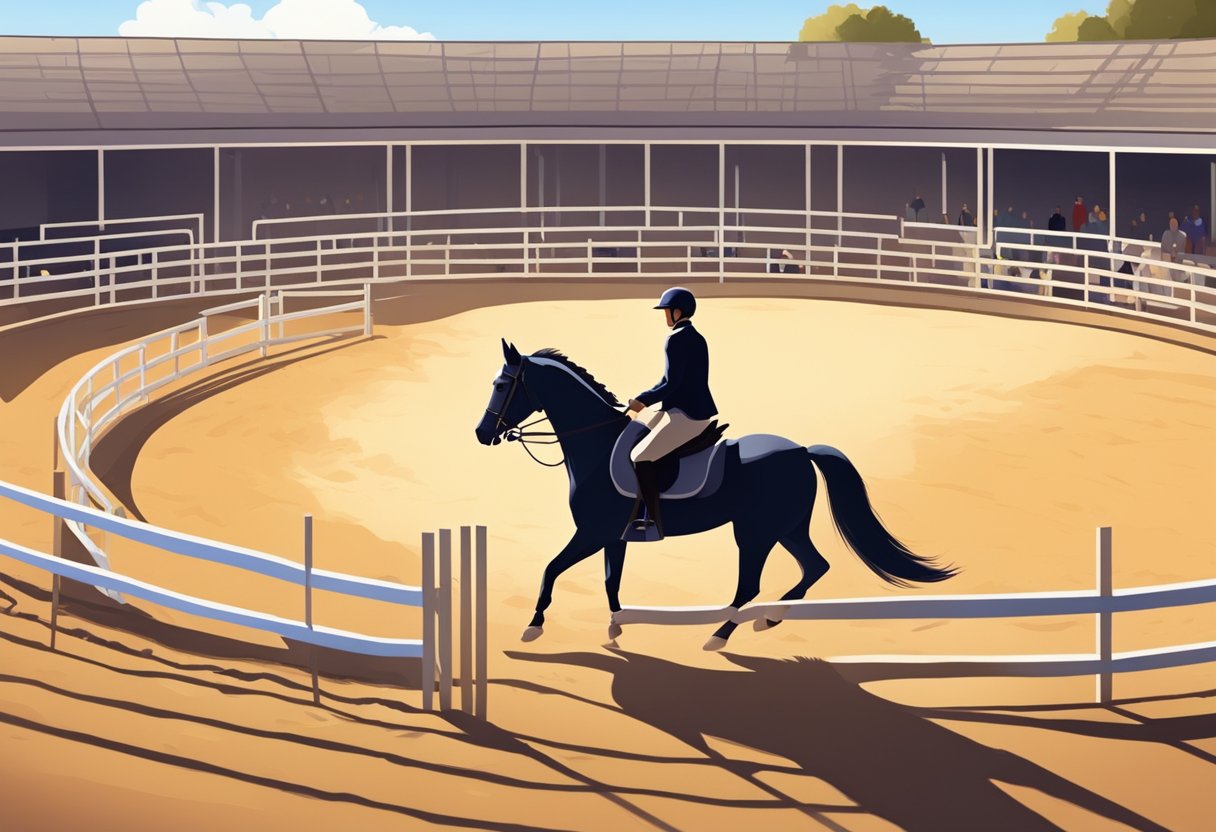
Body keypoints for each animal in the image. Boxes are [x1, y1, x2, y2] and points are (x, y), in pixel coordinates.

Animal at [474, 338, 958, 651]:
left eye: (501, 385)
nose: (482, 434)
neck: (595, 443)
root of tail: (801, 450)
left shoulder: (592, 533)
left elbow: (550, 570)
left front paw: (533, 627)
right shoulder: (613, 536)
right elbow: (612, 580)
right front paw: (615, 628)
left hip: (756, 532)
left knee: (750, 584)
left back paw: (720, 634)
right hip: (787, 527)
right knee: (815, 566)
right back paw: (769, 619)